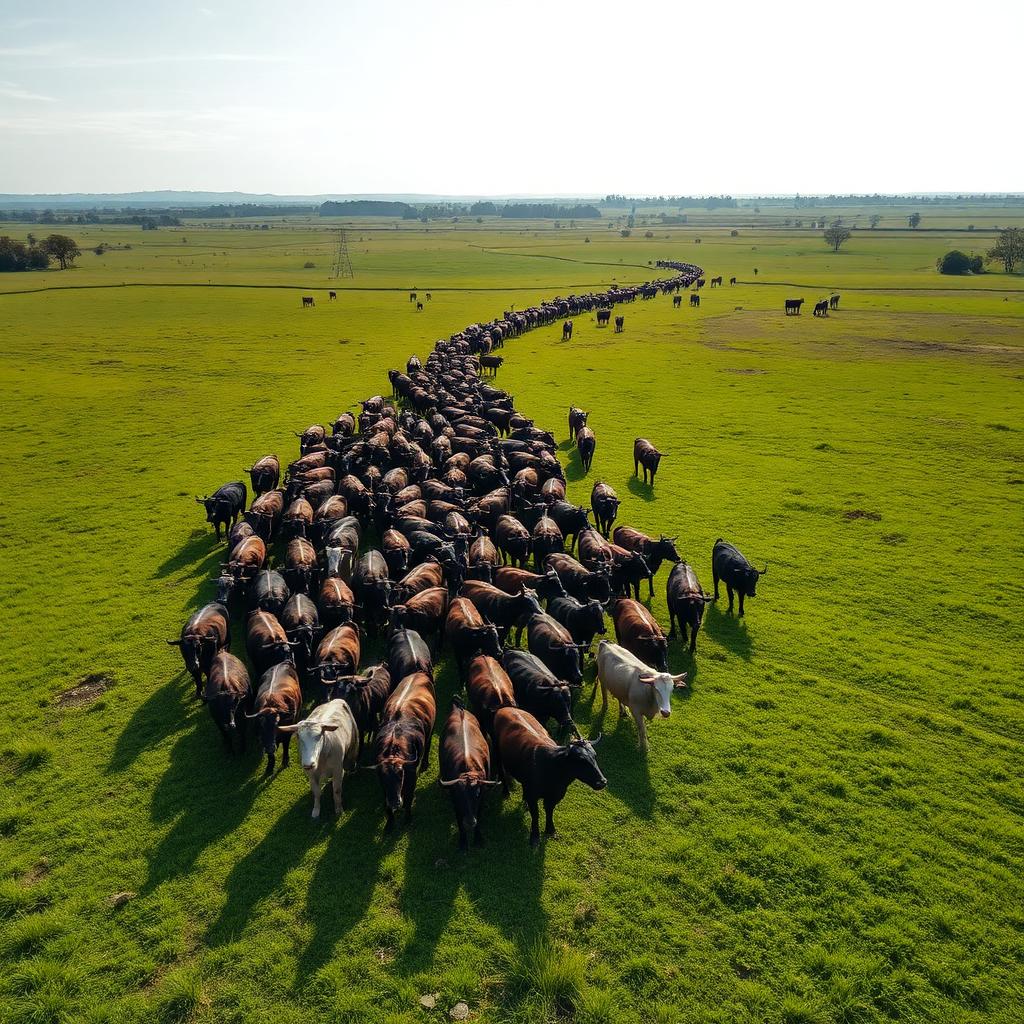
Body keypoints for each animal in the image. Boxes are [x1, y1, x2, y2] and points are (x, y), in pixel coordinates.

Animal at [374, 671, 436, 830]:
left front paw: (407, 818)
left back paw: (425, 763)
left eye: (400, 775)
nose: (395, 802)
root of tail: (418, 673)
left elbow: (408, 798)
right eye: (384, 777)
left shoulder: (412, 776)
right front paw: (390, 823)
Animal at [439, 699, 501, 850]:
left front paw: (478, 839)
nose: (470, 822)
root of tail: (460, 710)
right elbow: (459, 821)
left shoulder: (482, 799)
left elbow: (479, 815)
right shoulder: (455, 801)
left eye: (477, 794)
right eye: (459, 794)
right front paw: (463, 842)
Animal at [493, 707, 606, 847]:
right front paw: (535, 836)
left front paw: (550, 830)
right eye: (581, 760)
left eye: (594, 756)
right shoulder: (533, 796)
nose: (602, 782)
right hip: (497, 753)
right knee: (501, 771)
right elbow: (535, 814)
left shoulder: (555, 796)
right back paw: (506, 792)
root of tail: (505, 708)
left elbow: (549, 811)